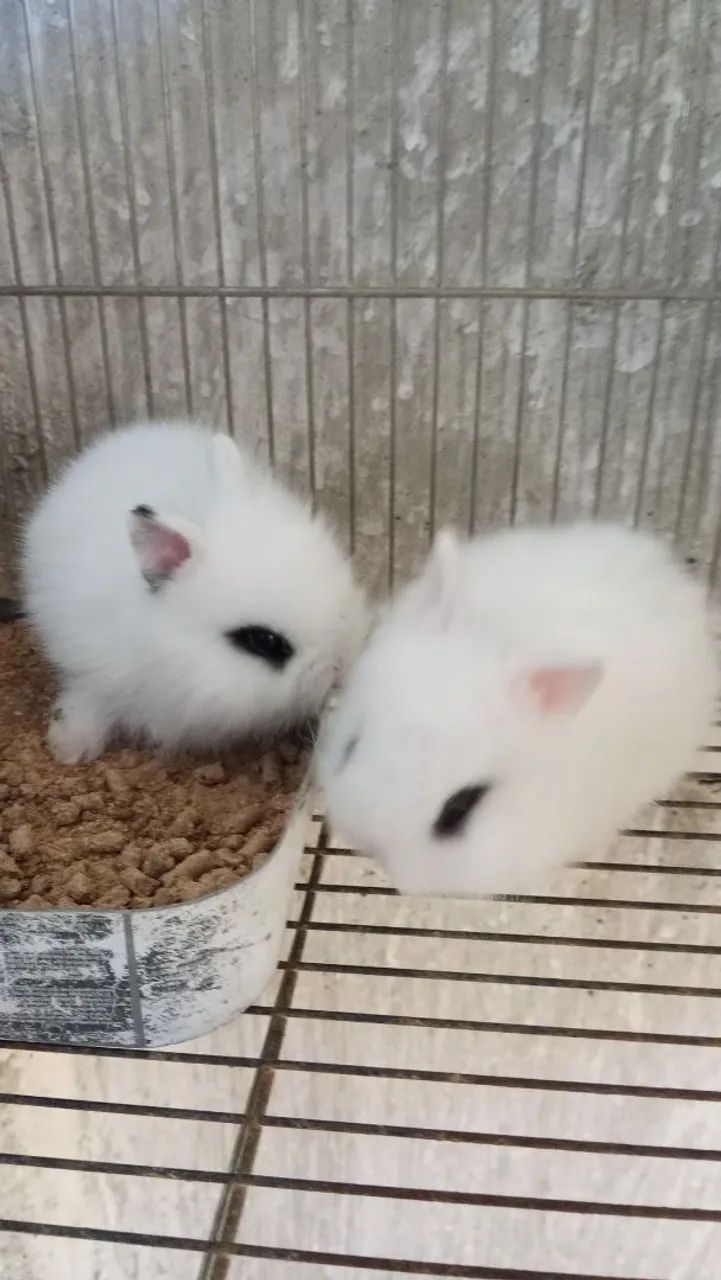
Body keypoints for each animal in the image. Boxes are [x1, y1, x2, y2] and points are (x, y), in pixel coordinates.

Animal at [22, 420, 366, 763]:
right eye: (263, 641)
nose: (340, 668)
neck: (168, 647)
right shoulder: (94, 667)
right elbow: (89, 698)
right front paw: (70, 748)